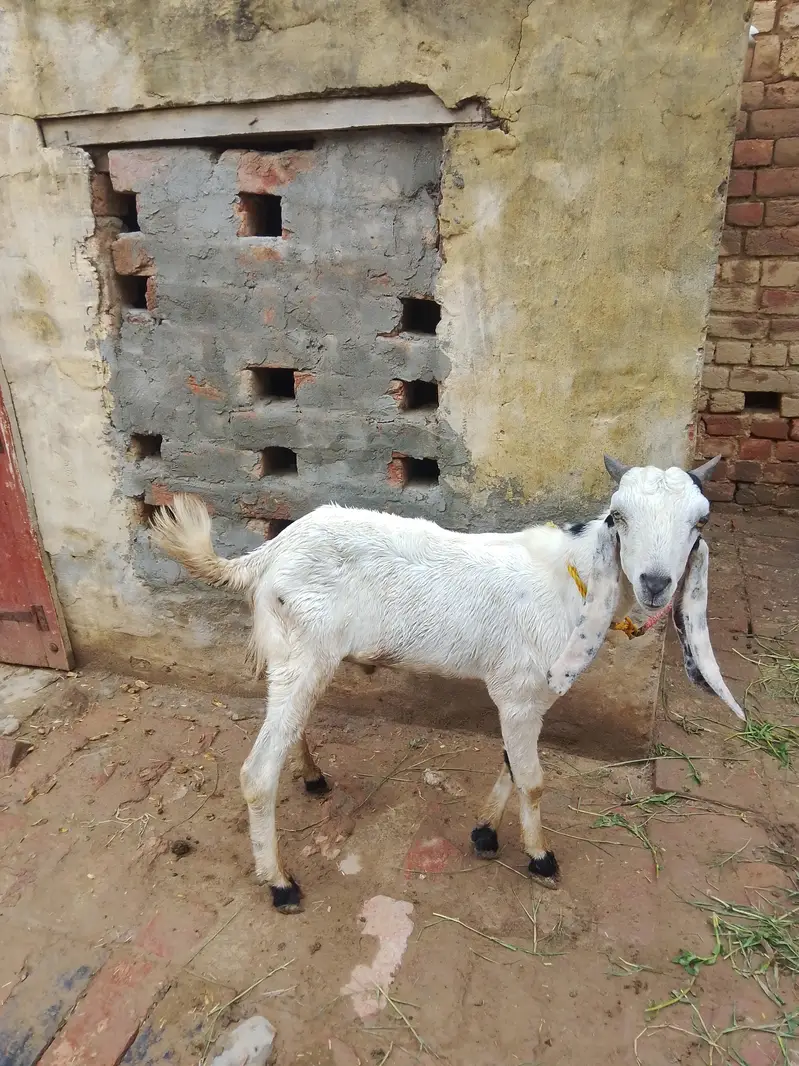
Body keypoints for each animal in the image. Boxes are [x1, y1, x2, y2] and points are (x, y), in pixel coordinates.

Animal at [152, 455, 743, 912]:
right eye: (619, 517)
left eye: (700, 523)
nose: (655, 583)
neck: (571, 580)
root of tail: (268, 554)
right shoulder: (518, 691)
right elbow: (532, 780)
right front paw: (540, 857)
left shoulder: (529, 698)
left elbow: (511, 765)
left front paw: (485, 832)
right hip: (302, 653)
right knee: (256, 774)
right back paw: (279, 884)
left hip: (299, 657)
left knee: (290, 724)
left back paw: (313, 777)